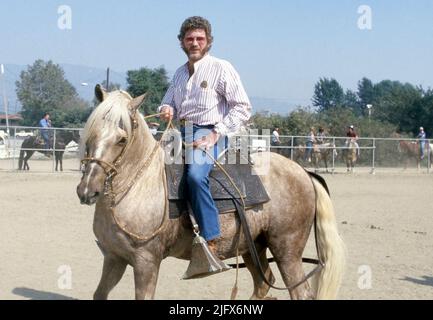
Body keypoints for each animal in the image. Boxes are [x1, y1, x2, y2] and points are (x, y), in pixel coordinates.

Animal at [74, 85, 344, 300]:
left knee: (300, 292)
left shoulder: (146, 262)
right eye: (91, 132)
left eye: (121, 139)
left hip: (287, 251)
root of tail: (304, 172)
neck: (141, 185)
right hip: (253, 247)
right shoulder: (113, 258)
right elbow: (99, 294)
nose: (87, 190)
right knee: (263, 284)